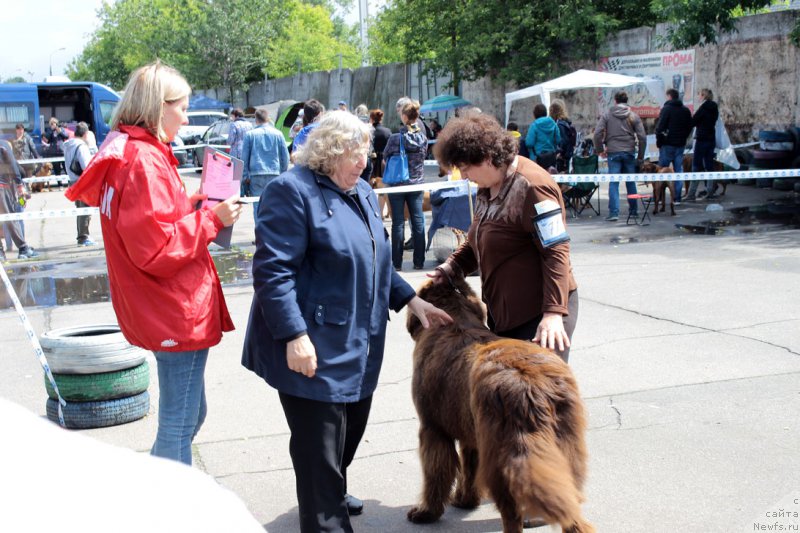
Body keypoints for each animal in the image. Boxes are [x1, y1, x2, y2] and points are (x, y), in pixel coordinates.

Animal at [406, 278, 592, 532]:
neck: (457, 318)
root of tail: (533, 387)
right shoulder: (471, 433)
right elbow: (469, 468)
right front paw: (465, 500)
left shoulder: (432, 429)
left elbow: (436, 473)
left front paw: (426, 512)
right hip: (564, 449)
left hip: (503, 453)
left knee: (512, 510)